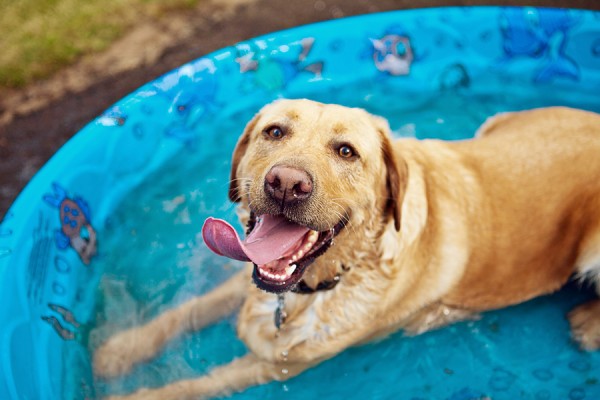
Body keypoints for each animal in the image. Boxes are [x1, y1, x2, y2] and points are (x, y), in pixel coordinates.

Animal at [94, 98, 600, 398]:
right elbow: (190, 310)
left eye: (346, 151)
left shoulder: (279, 366)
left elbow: (203, 382)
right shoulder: (251, 279)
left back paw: (588, 325)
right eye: (274, 132)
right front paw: (121, 350)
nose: (286, 183)